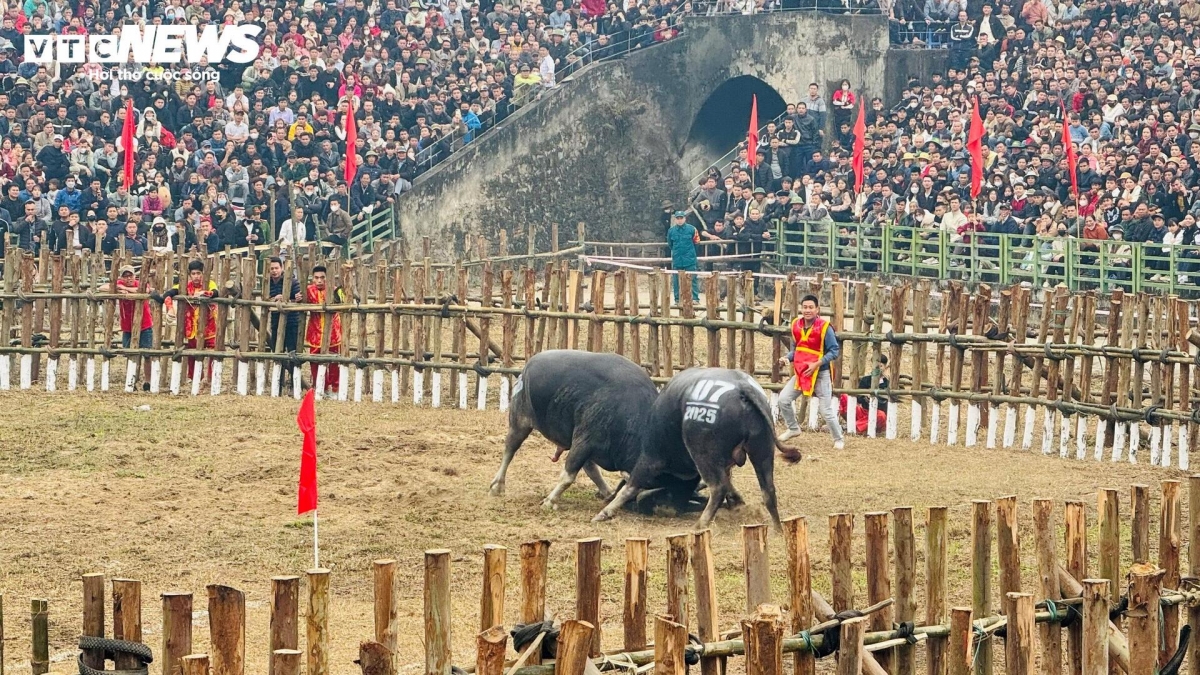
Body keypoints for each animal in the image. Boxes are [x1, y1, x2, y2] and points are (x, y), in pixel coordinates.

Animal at [595, 365, 801, 528]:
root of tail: (742, 388)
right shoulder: (725, 465)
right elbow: (730, 483)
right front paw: (737, 502)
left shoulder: (652, 457)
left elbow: (631, 485)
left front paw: (605, 512)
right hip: (762, 450)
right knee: (768, 491)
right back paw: (777, 529)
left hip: (703, 453)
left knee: (718, 488)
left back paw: (700, 525)